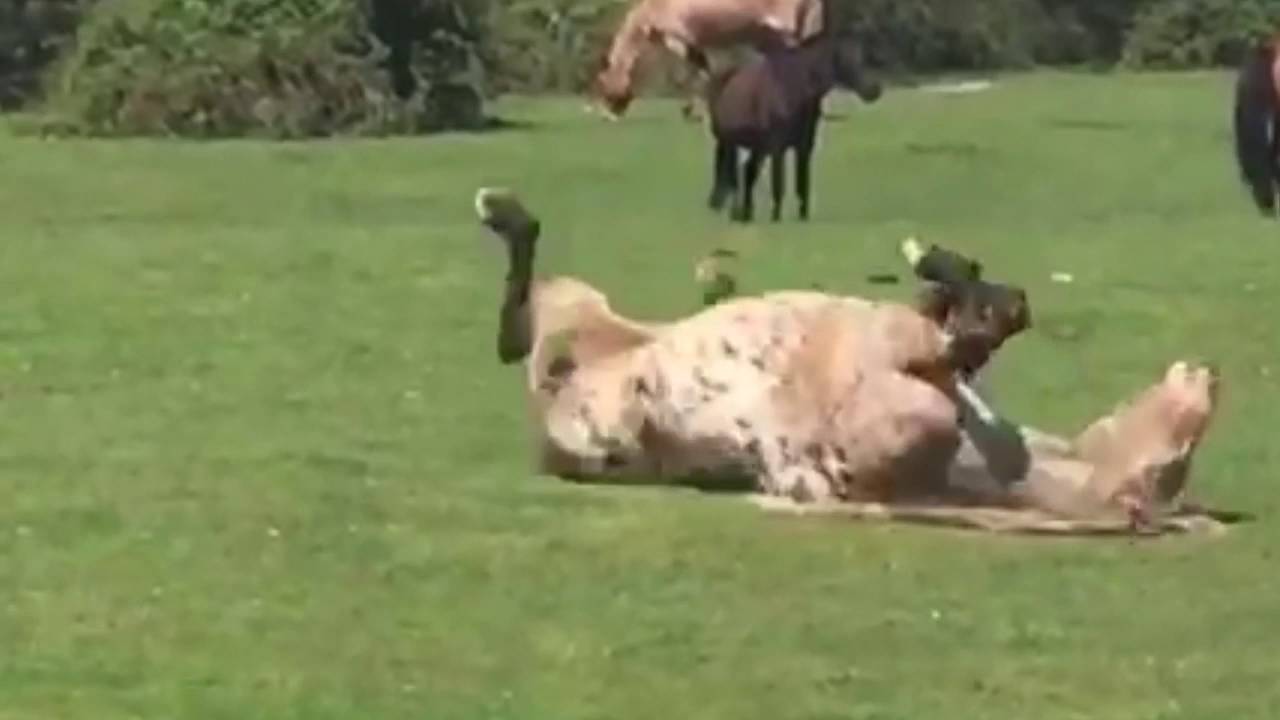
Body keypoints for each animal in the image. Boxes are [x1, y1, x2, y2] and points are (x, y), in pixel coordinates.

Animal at [590, 0, 824, 120]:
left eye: (603, 84)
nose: (607, 115)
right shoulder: (691, 42)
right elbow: (703, 70)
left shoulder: (678, 39)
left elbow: (688, 75)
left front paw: (692, 111)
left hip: (787, 27)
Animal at [706, 33, 881, 223]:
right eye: (847, 58)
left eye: (862, 55)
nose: (874, 90)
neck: (791, 89)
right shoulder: (777, 148)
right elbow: (779, 185)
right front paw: (776, 217)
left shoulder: (803, 148)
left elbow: (802, 184)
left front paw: (803, 217)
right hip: (729, 141)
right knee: (732, 176)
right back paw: (737, 212)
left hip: (757, 147)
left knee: (748, 172)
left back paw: (746, 214)